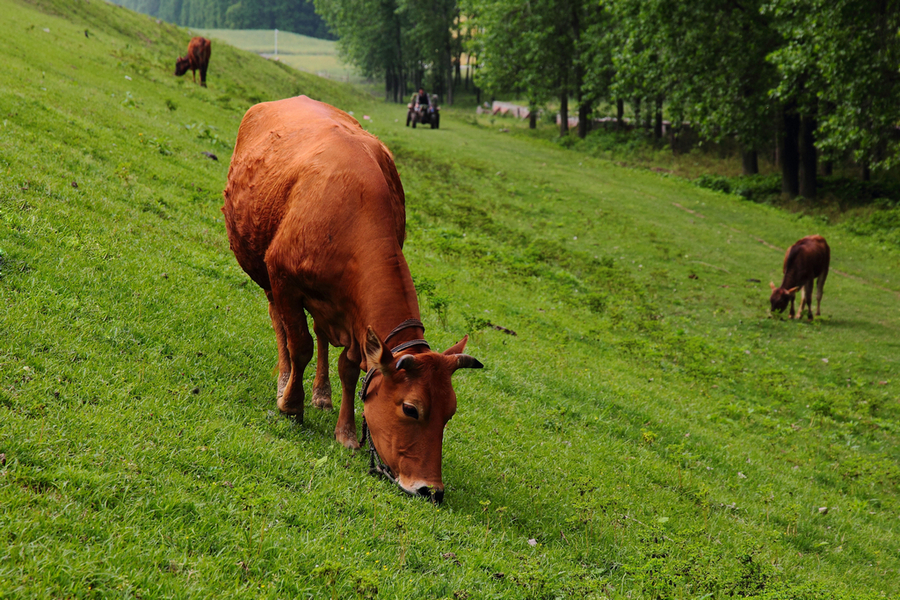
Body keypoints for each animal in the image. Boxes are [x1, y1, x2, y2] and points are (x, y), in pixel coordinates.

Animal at [221, 97, 482, 502]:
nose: (431, 490)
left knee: (321, 336)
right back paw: (285, 382)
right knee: (281, 325)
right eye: (411, 409)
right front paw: (291, 405)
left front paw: (344, 432)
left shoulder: (356, 316)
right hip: (266, 275)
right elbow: (299, 346)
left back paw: (321, 394)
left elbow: (348, 367)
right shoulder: (284, 279)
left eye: (450, 412)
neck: (352, 211)